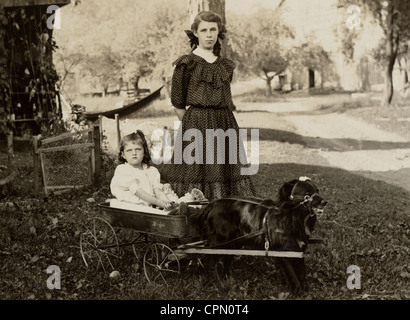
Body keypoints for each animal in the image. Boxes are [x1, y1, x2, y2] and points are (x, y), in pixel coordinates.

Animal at [191, 178, 328, 292]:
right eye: (307, 193)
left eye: (317, 191)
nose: (325, 202)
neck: (293, 217)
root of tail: (212, 204)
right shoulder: (283, 251)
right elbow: (293, 275)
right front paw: (298, 291)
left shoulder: (298, 250)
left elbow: (301, 273)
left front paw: (305, 290)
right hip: (222, 241)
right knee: (216, 264)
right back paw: (222, 286)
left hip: (234, 242)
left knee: (226, 262)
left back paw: (229, 280)